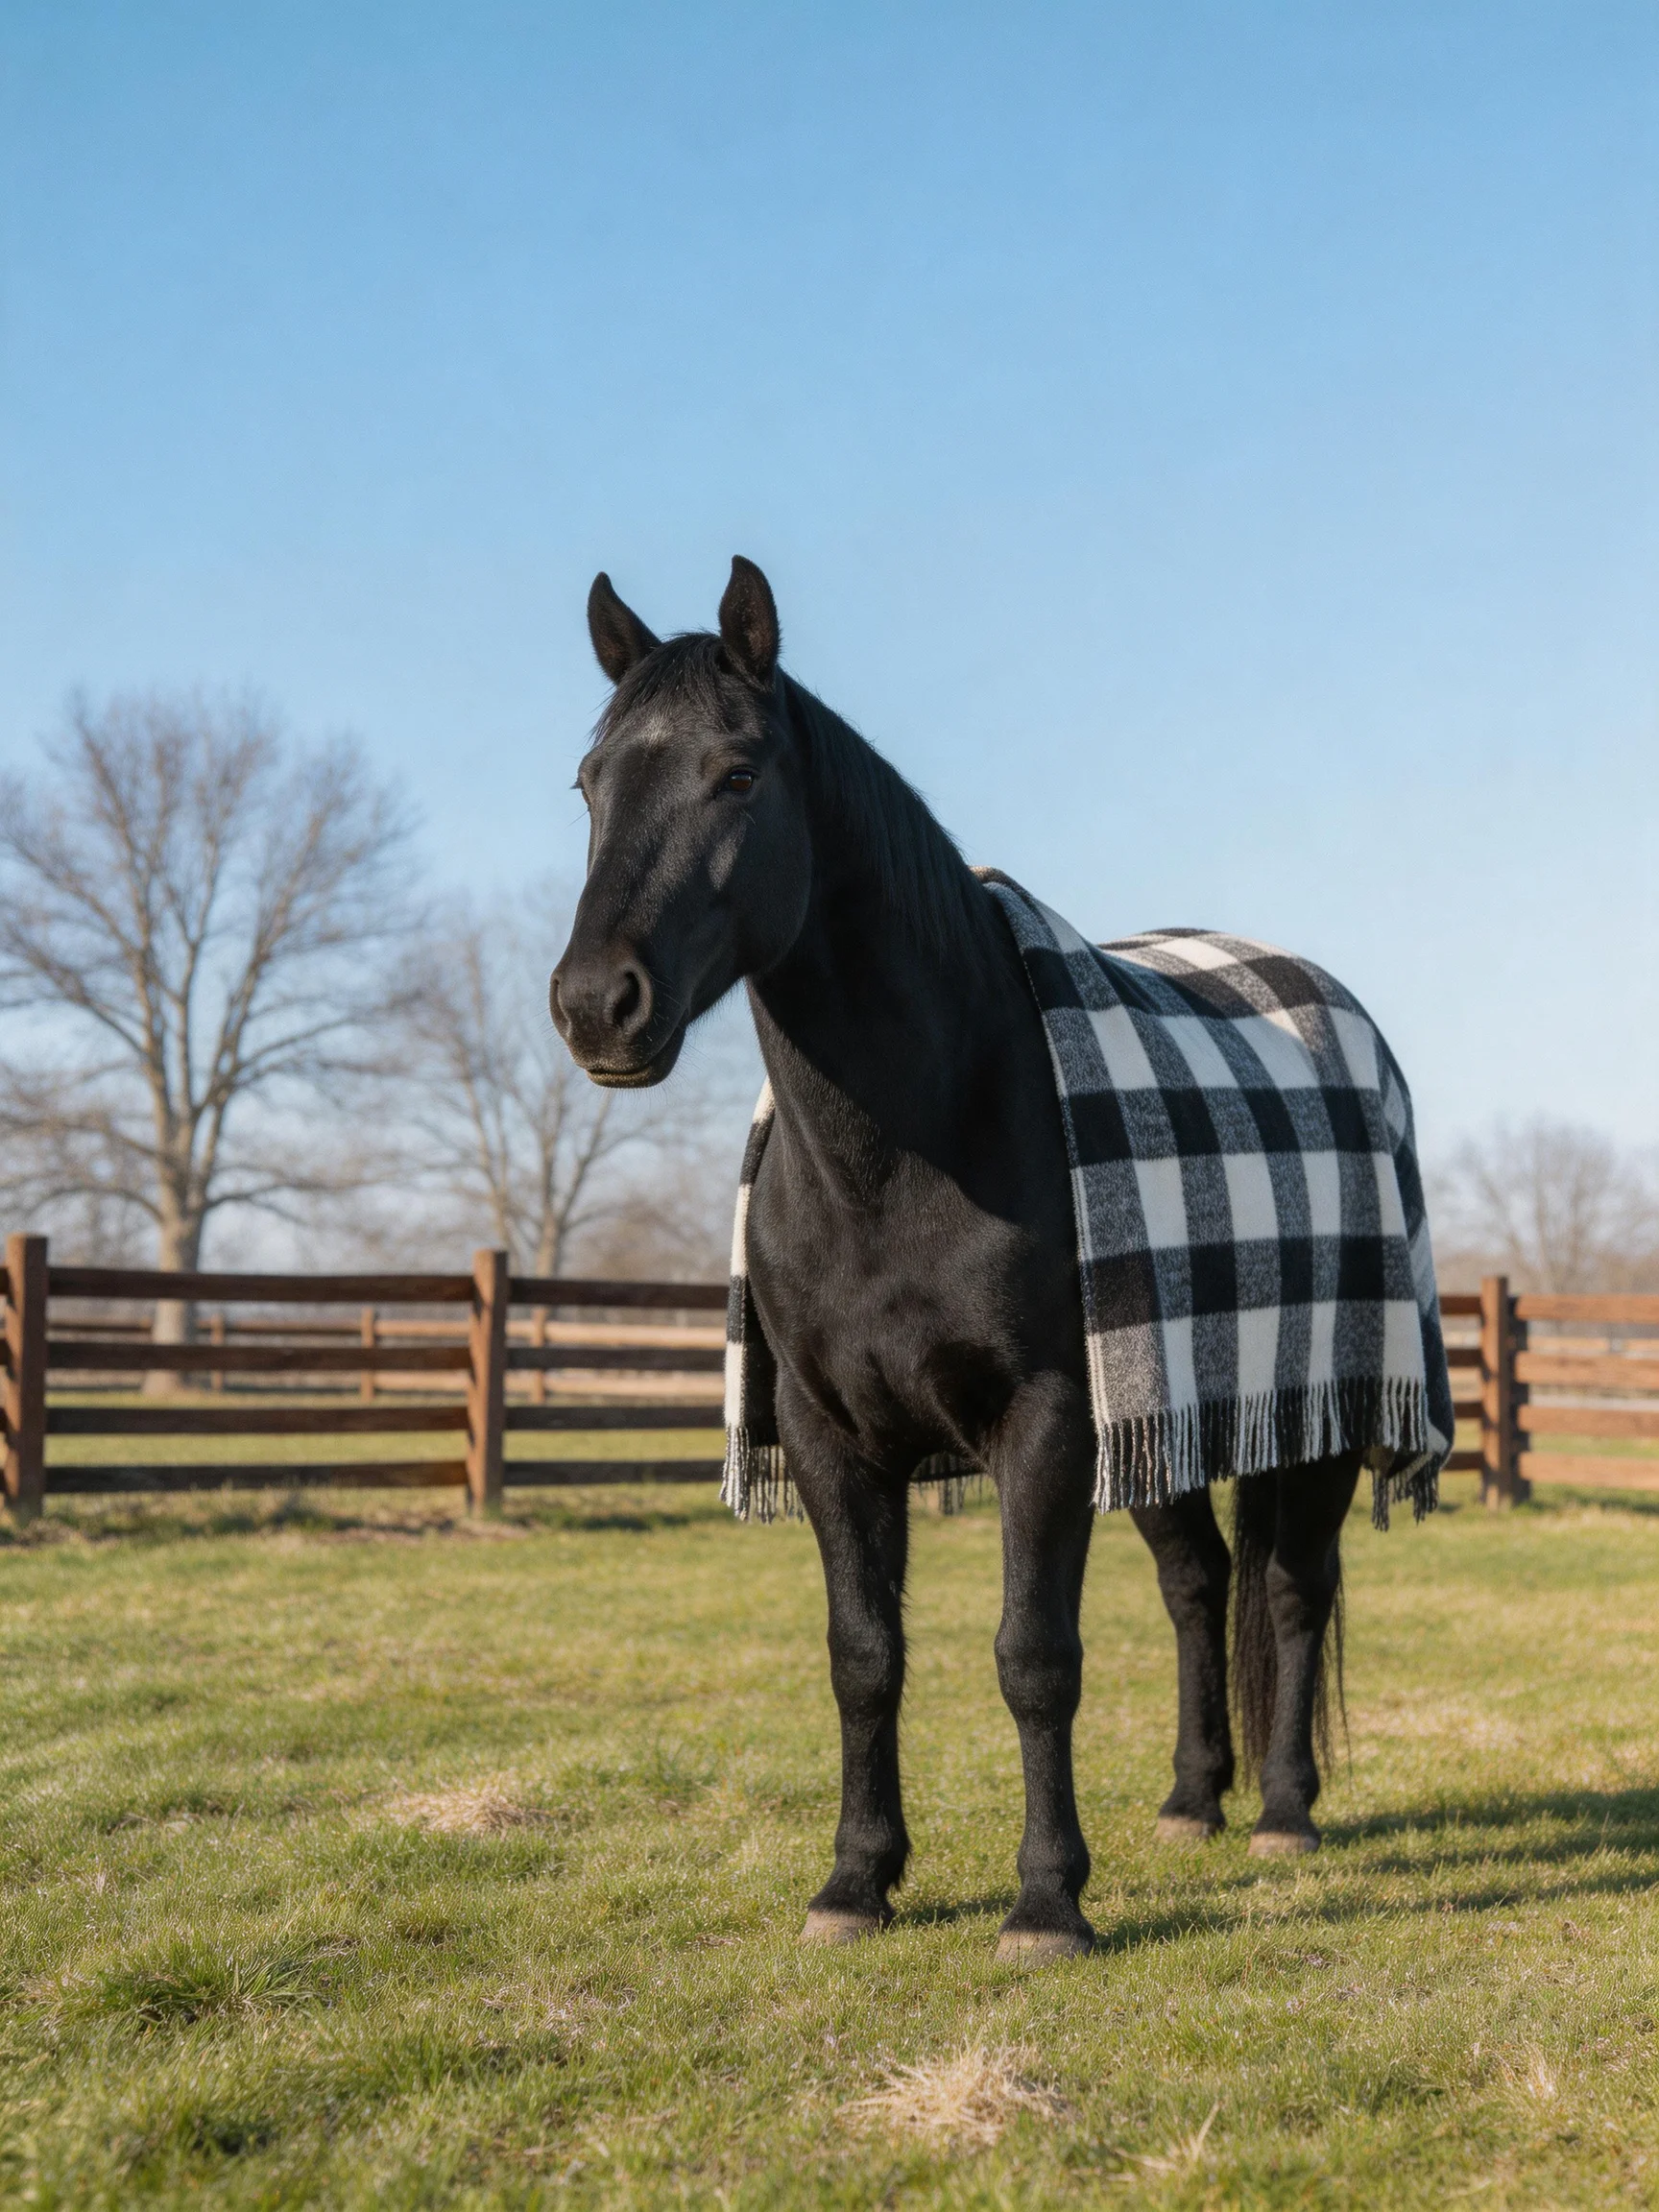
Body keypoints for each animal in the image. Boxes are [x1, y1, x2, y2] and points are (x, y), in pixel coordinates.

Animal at [551, 556, 1407, 1963]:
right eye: (588, 782)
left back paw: (1284, 1813)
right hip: (1162, 1419)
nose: (594, 1005)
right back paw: (1191, 1801)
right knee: (1198, 1585)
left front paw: (1048, 1901)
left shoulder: (1046, 1419)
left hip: (1319, 1413)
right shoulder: (831, 1433)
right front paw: (855, 1881)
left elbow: (1034, 1657)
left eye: (739, 772)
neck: (911, 1148)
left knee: (1290, 1590)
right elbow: (863, 1655)